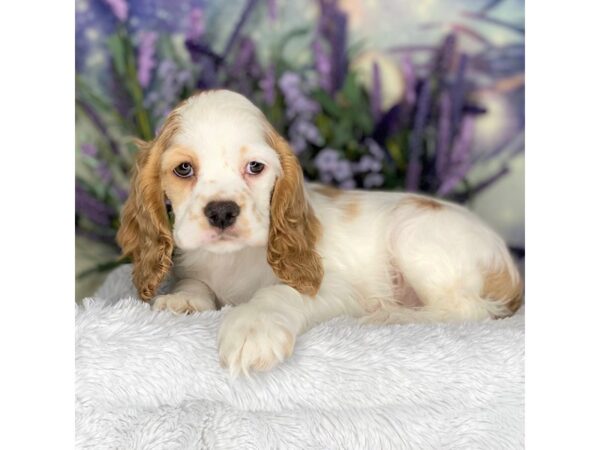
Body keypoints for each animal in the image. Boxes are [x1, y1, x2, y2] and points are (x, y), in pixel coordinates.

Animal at [116, 89, 520, 376]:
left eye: (255, 167)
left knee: (468, 309)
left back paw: (390, 316)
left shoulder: (333, 287)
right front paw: (181, 300)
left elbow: (278, 293)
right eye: (183, 169)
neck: (233, 260)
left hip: (415, 234)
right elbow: (195, 283)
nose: (221, 211)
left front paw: (253, 328)